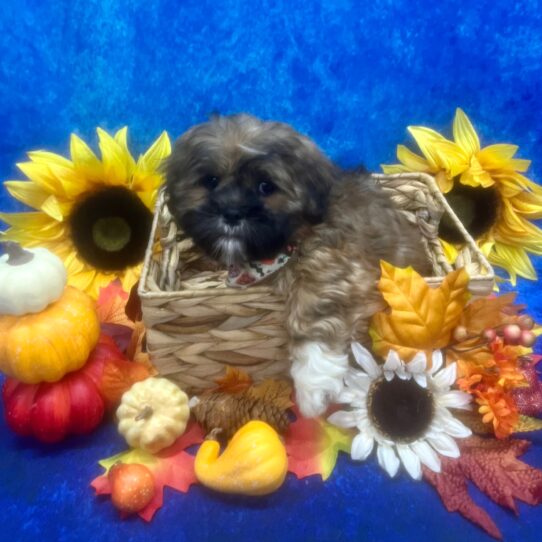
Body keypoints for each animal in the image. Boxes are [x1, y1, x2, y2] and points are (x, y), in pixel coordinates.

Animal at [166, 115, 434, 418]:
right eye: (210, 181)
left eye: (266, 186)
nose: (232, 212)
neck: (283, 247)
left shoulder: (334, 265)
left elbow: (312, 312)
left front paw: (313, 384)